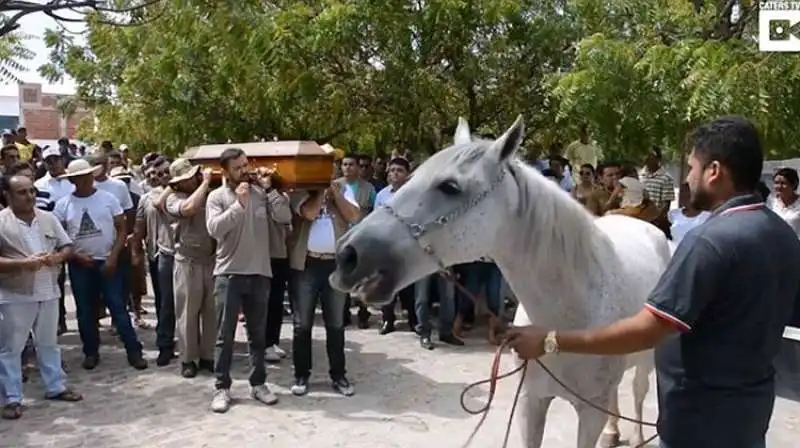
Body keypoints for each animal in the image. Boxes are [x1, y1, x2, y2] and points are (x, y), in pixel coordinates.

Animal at [330, 116, 668, 448]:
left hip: (645, 360)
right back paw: (612, 434)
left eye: (450, 187)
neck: (570, 317)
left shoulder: (588, 413)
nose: (347, 254)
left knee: (637, 392)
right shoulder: (531, 402)